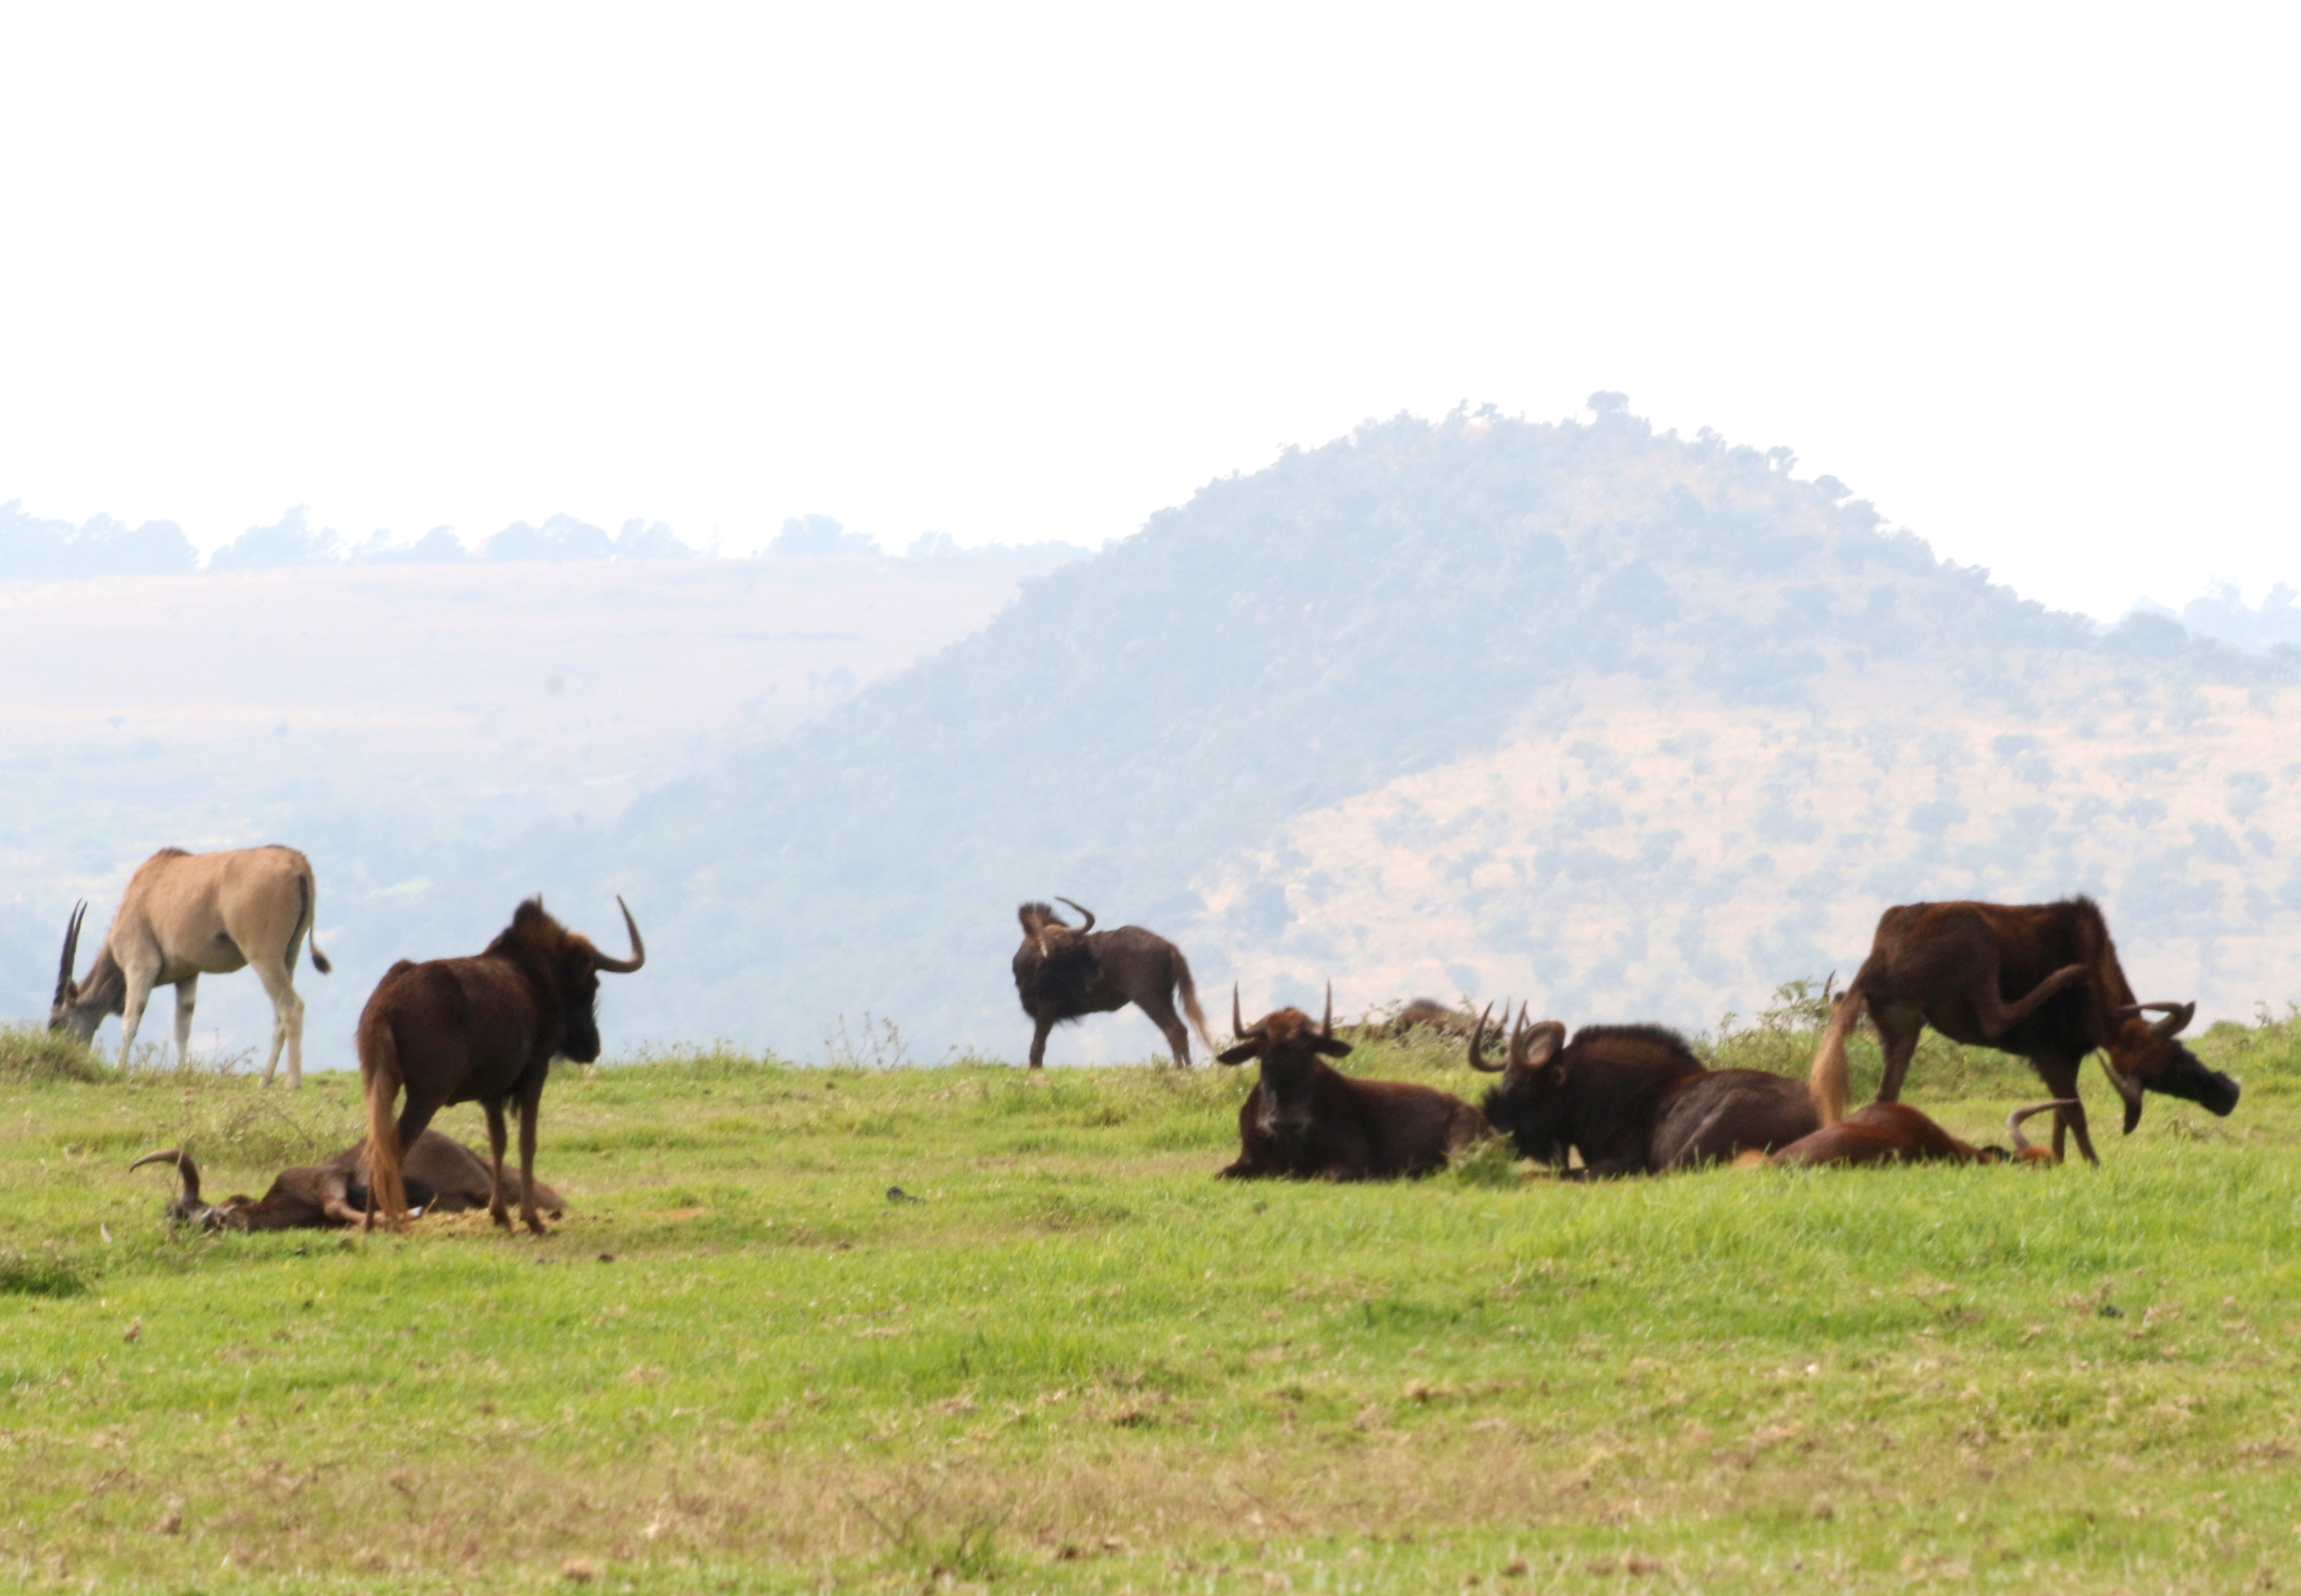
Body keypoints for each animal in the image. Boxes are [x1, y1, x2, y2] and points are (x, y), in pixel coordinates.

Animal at [50, 850, 329, 1090]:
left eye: (56, 1023)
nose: (65, 1058)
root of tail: (297, 863)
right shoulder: (188, 975)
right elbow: (182, 1027)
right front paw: (183, 1073)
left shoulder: (140, 967)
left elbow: (131, 1021)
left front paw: (120, 1071)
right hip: (289, 956)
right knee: (279, 1014)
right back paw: (265, 1080)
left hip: (264, 958)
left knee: (291, 1006)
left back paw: (292, 1082)